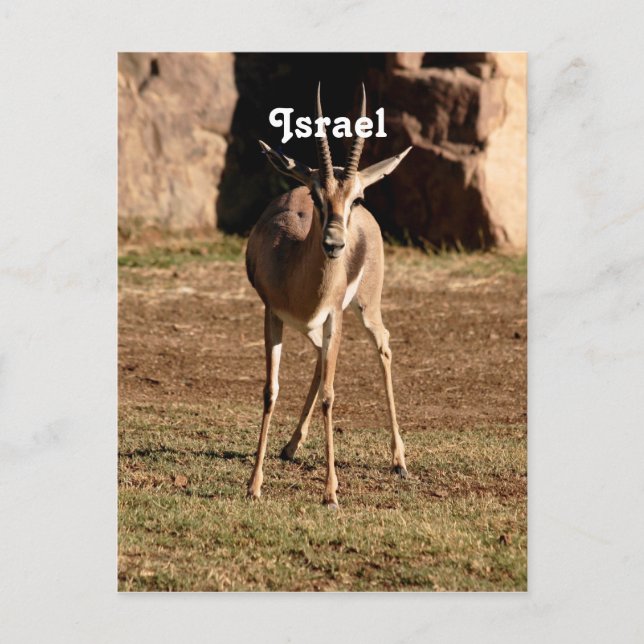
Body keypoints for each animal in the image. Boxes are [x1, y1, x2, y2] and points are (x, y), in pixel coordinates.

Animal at [245, 84, 411, 508]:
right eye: (316, 195)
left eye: (356, 199)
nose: (335, 244)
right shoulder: (272, 313)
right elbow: (271, 390)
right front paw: (254, 484)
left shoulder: (335, 315)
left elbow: (330, 395)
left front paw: (331, 492)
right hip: (309, 327)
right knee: (320, 360)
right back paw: (290, 447)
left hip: (366, 308)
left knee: (383, 345)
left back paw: (400, 461)